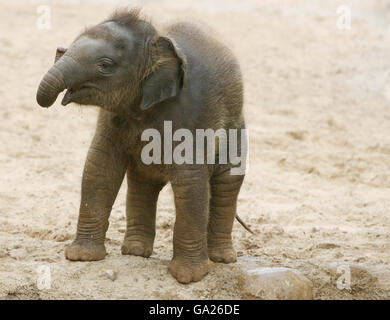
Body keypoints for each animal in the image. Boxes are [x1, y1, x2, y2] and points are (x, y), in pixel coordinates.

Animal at [35, 8, 244, 282]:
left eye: (105, 65)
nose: (59, 49)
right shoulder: (112, 118)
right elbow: (99, 167)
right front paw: (82, 257)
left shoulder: (191, 116)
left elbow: (190, 181)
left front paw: (188, 277)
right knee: (143, 181)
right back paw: (135, 251)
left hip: (236, 129)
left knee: (227, 183)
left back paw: (222, 258)